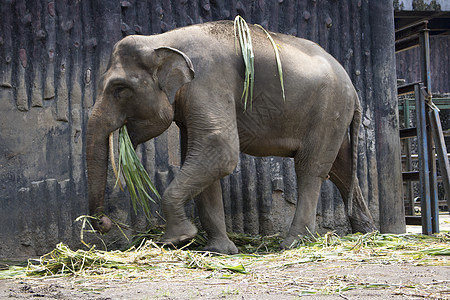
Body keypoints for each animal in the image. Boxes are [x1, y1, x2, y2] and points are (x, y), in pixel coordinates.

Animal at [85, 19, 376, 254]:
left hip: (328, 109)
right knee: (340, 167)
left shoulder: (207, 80)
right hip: (333, 114)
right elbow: (201, 157)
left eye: (119, 89)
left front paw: (176, 240)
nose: (104, 224)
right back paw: (368, 234)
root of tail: (353, 87)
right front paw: (218, 251)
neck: (161, 40)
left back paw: (294, 243)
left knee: (310, 169)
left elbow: (219, 149)